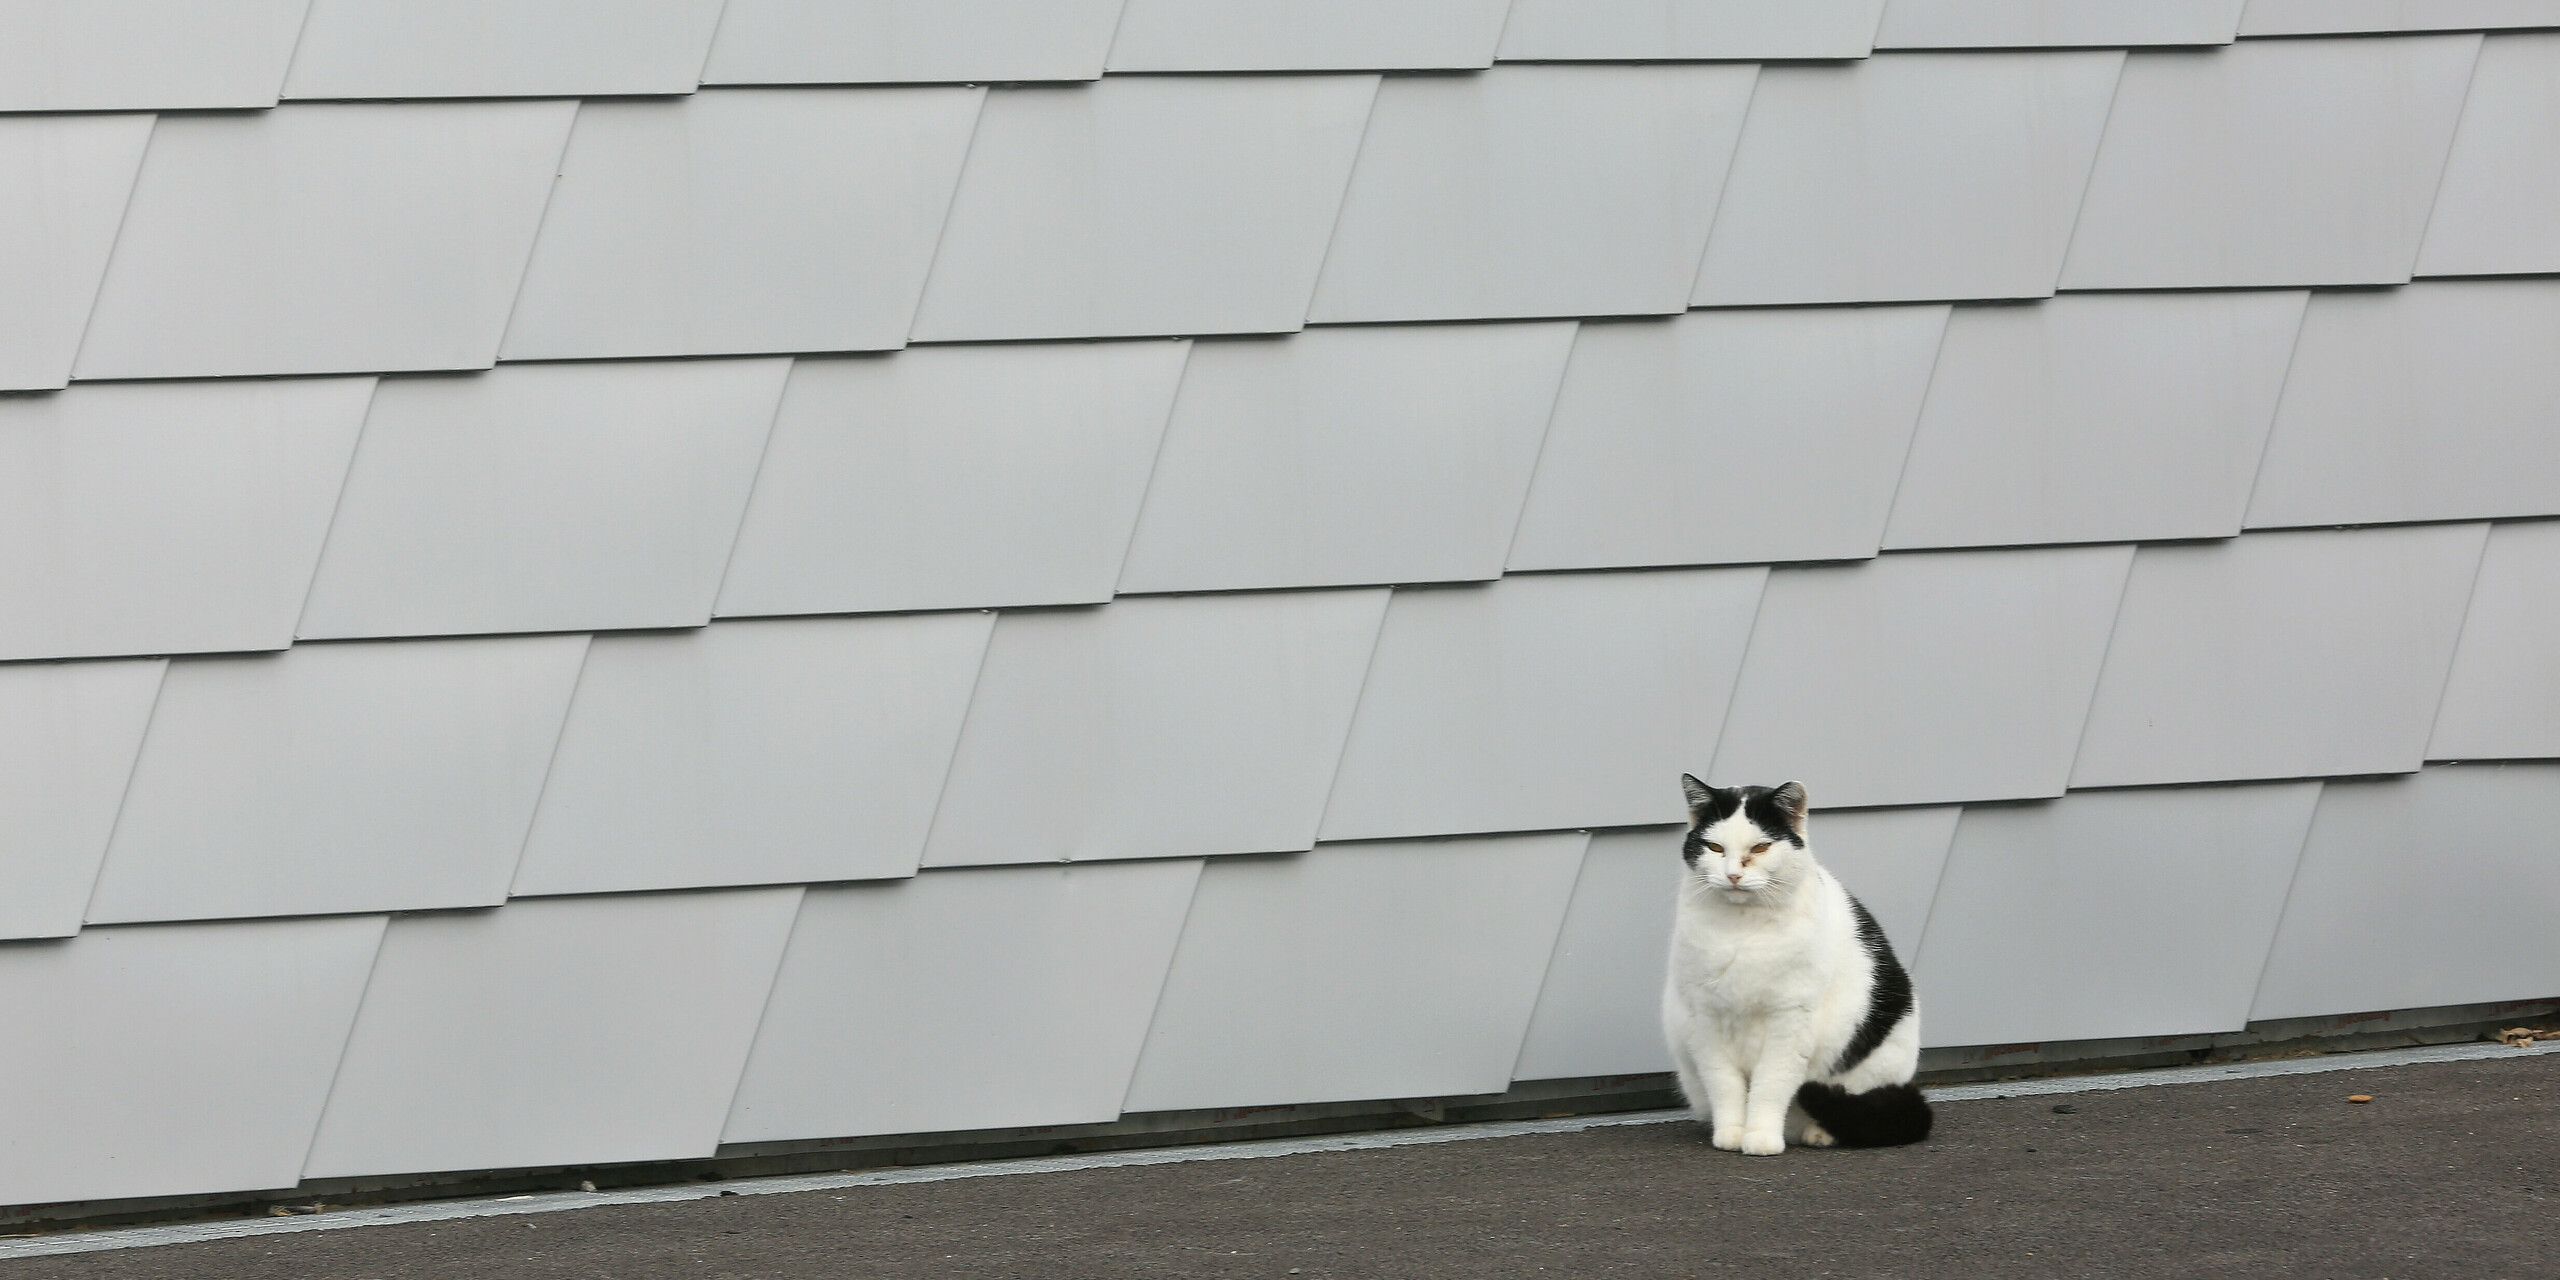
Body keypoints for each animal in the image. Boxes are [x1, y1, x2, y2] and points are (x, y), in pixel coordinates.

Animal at [1648, 773, 1925, 1157]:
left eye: (1760, 848)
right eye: (1715, 848)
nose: (1732, 875)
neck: (1743, 929)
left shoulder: (1790, 1021)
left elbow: (1771, 1084)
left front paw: (1761, 1137)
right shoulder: (1706, 1020)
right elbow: (1725, 1085)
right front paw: (1732, 1132)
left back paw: (1818, 1133)